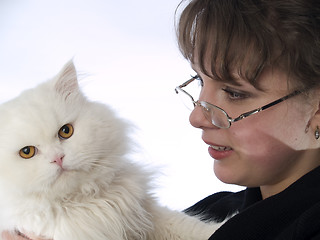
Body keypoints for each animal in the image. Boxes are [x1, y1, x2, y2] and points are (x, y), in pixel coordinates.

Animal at [0, 62, 220, 240]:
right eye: (27, 152)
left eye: (65, 131)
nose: (58, 158)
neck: (85, 201)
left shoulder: (147, 213)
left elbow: (192, 227)